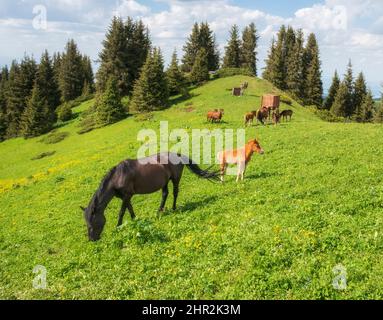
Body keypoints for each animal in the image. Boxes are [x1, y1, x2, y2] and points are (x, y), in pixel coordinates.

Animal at [82, 152, 220, 240]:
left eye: (91, 222)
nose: (92, 239)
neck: (118, 176)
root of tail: (177, 154)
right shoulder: (126, 197)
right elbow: (129, 209)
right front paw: (135, 220)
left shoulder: (127, 195)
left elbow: (122, 211)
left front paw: (118, 226)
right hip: (164, 181)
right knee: (165, 194)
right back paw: (159, 211)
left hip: (175, 179)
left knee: (175, 192)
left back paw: (174, 208)